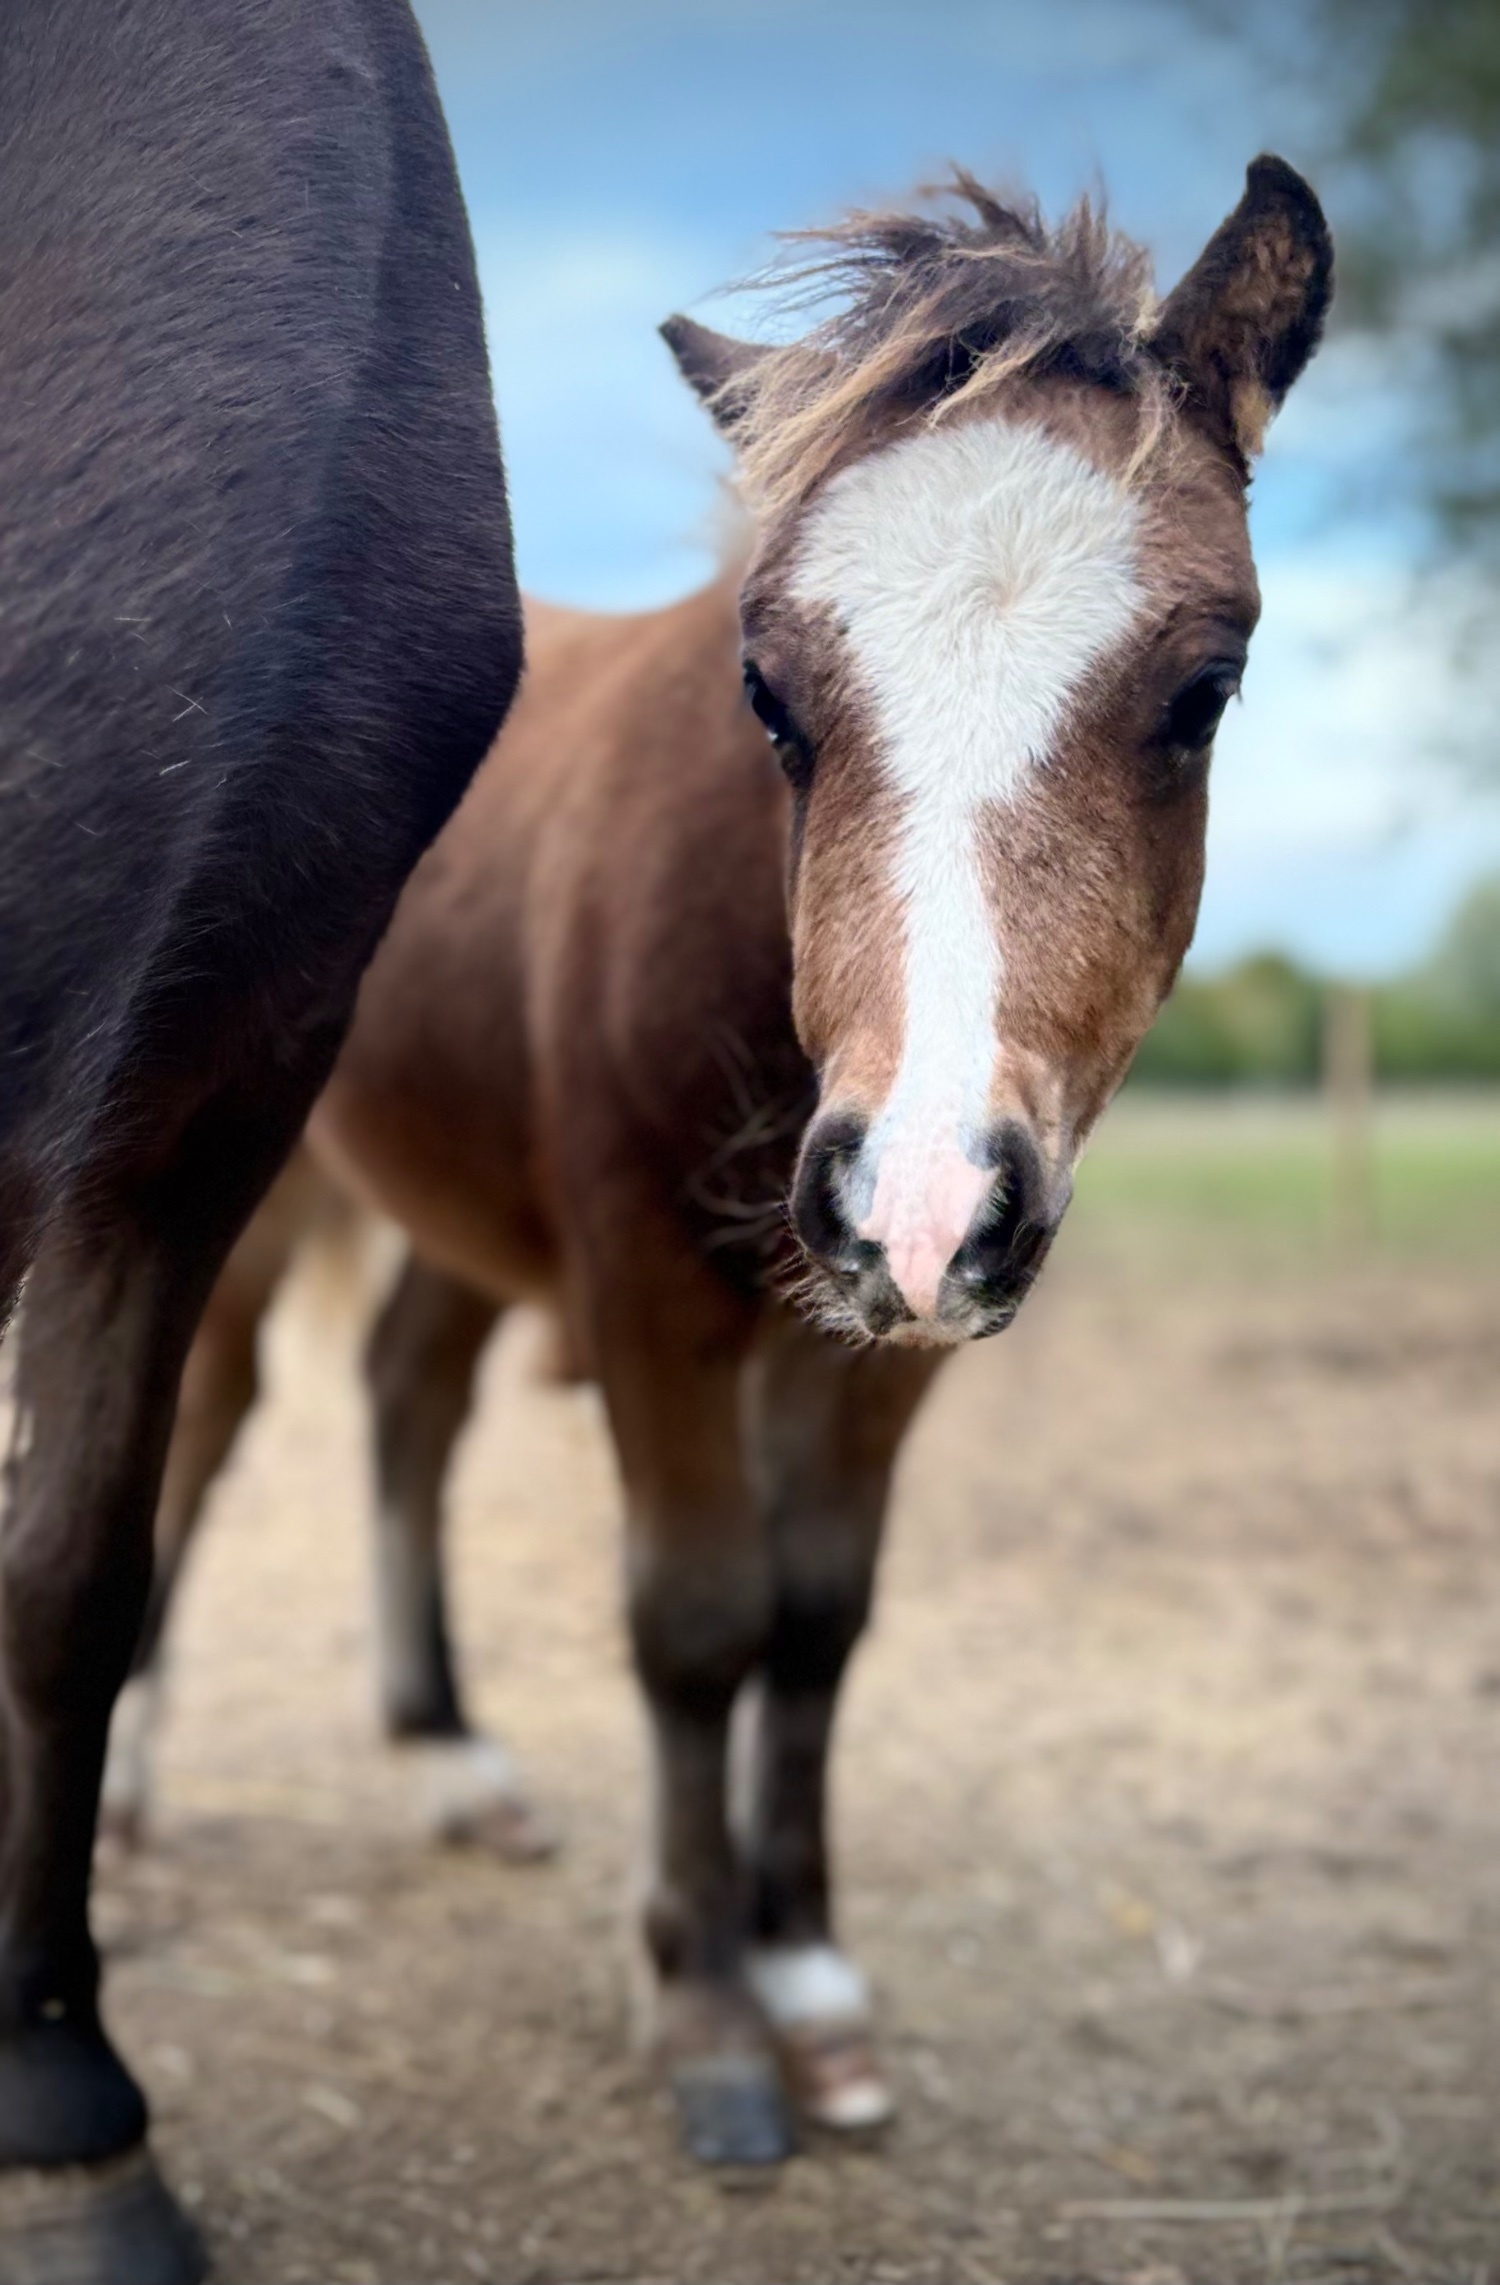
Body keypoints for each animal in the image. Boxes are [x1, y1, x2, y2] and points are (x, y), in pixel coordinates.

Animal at [112, 158, 1332, 2176]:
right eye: (769, 692)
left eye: (1205, 691)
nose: (915, 1199)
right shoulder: (647, 1286)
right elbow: (694, 1620)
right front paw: (705, 2011)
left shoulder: (887, 1339)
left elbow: (816, 1620)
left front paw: (811, 1979)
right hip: (255, 1186)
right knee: (202, 1435)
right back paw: (129, 1782)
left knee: (407, 1401)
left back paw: (448, 1759)